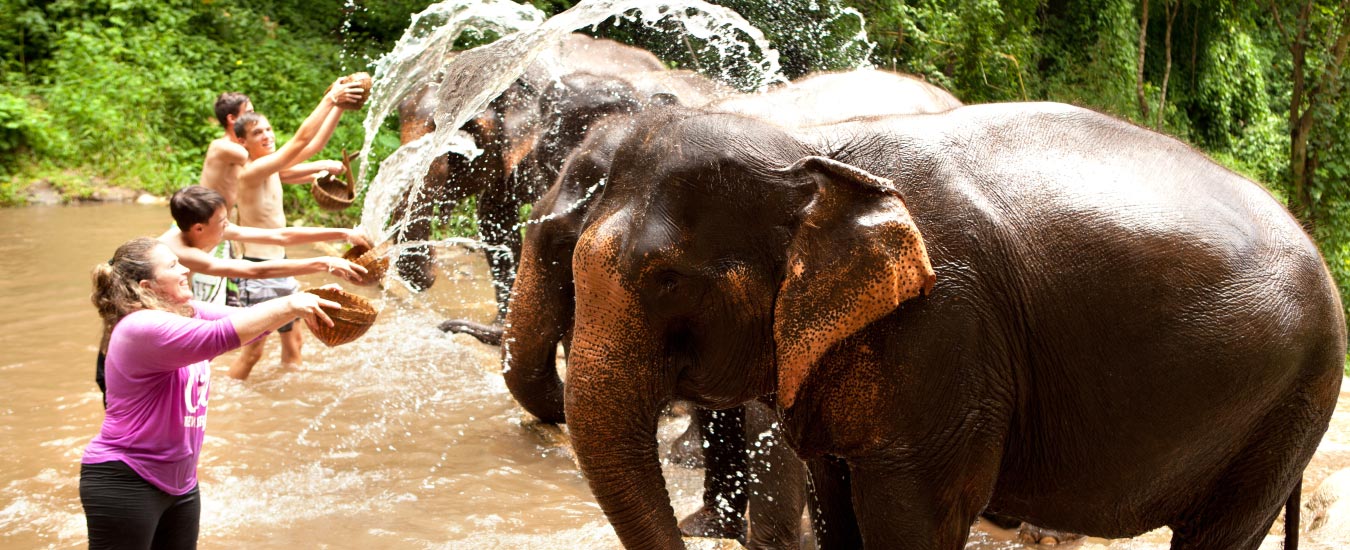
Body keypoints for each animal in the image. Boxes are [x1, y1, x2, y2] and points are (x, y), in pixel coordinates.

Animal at [560, 98, 1346, 549]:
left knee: (1217, 534)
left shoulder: (946, 331)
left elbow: (914, 518)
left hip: (1292, 404)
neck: (812, 143)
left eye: (665, 279)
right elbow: (834, 499)